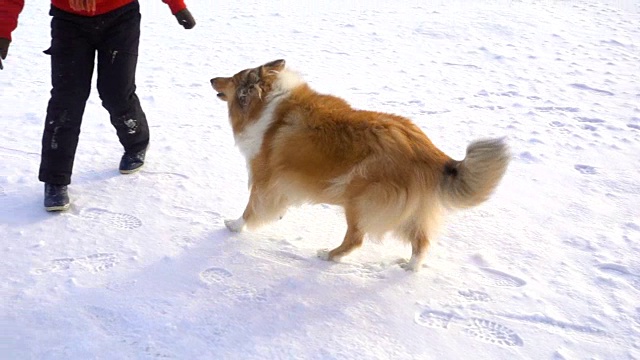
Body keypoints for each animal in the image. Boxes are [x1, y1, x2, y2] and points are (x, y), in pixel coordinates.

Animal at [210, 59, 510, 272]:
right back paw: (409, 267)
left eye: (233, 78)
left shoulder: (264, 176)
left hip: (358, 197)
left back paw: (328, 255)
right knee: (421, 242)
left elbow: (252, 207)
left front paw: (234, 226)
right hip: (409, 208)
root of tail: (429, 150)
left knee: (356, 239)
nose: (212, 78)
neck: (266, 103)